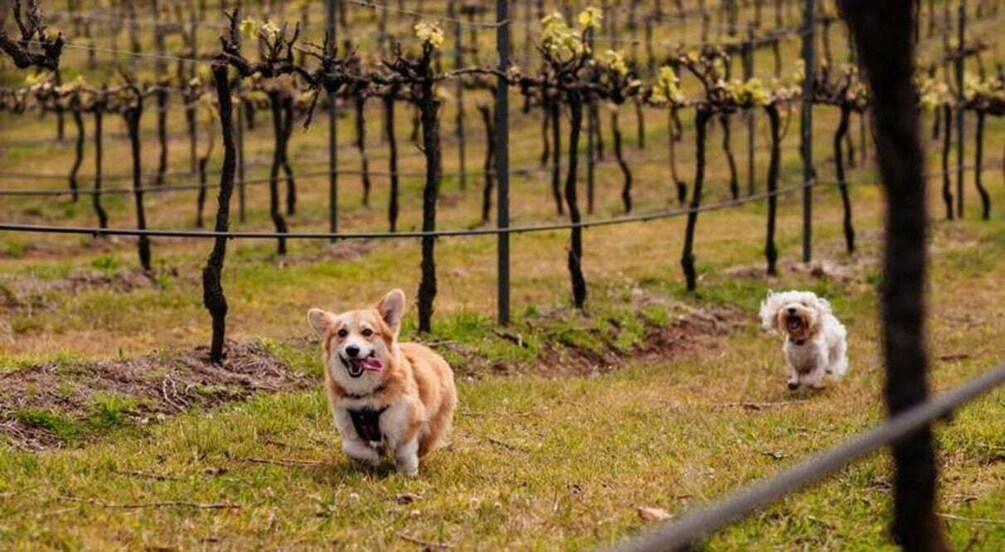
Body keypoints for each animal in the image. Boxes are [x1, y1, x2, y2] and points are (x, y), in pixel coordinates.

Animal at [303, 287, 458, 472]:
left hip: (435, 423)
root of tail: (429, 350)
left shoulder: (408, 421)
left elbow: (404, 452)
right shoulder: (348, 429)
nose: (352, 350)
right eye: (341, 333)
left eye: (367, 332)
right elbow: (351, 448)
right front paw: (372, 459)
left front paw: (407, 472)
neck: (365, 393)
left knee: (425, 444)